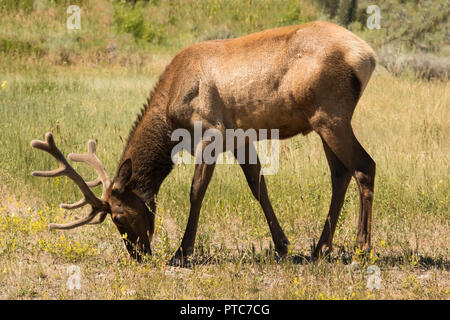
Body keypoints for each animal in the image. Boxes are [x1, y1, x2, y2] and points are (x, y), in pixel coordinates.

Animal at [30, 20, 376, 264]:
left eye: (118, 216)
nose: (138, 255)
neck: (171, 106)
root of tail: (367, 56)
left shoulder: (211, 130)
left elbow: (196, 191)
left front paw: (181, 253)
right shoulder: (240, 135)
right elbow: (258, 186)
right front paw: (282, 246)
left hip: (331, 115)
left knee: (364, 166)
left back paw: (361, 249)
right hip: (322, 122)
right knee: (340, 174)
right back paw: (320, 249)